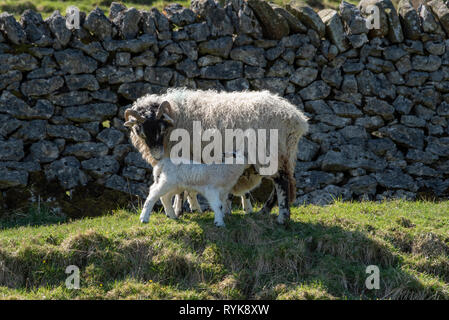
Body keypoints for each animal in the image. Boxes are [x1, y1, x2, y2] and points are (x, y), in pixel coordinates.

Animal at [125, 87, 308, 225]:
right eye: (139, 131)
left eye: (161, 129)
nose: (157, 155)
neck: (177, 114)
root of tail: (295, 119)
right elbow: (190, 186)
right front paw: (195, 208)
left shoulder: (183, 154)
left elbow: (183, 189)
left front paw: (180, 210)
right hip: (284, 153)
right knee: (283, 182)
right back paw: (265, 211)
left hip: (268, 152)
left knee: (281, 182)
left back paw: (282, 217)